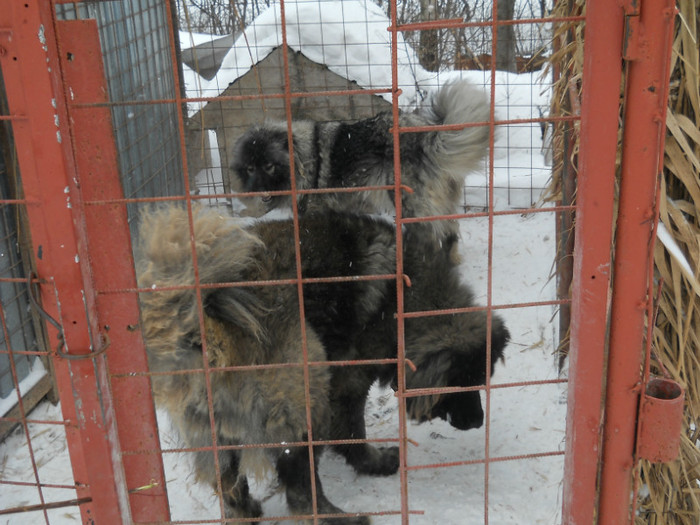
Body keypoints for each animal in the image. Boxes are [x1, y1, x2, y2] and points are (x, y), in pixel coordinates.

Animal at [232, 80, 490, 237]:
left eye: (268, 166)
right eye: (249, 168)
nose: (255, 191)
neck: (303, 157)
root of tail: (429, 135)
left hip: (408, 203)